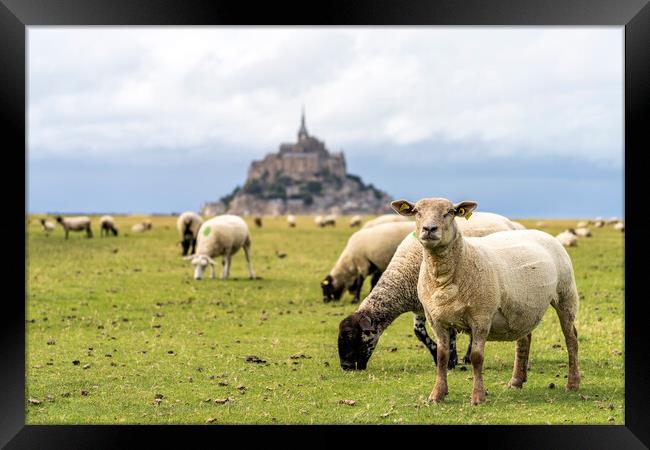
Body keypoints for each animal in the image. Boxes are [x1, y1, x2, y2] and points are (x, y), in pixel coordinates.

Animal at [336, 211, 520, 372]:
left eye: (351, 336)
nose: (346, 366)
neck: (403, 276)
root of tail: (508, 222)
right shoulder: (419, 304)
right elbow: (419, 332)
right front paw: (438, 355)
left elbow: (450, 331)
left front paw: (451, 360)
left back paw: (468, 357)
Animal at [390, 199, 576, 406]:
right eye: (417, 212)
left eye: (450, 212)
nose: (429, 229)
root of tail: (542, 233)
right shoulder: (436, 320)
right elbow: (442, 357)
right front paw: (437, 395)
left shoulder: (481, 317)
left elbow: (477, 357)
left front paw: (478, 397)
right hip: (522, 306)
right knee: (524, 339)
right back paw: (516, 381)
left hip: (566, 294)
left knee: (571, 338)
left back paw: (573, 384)